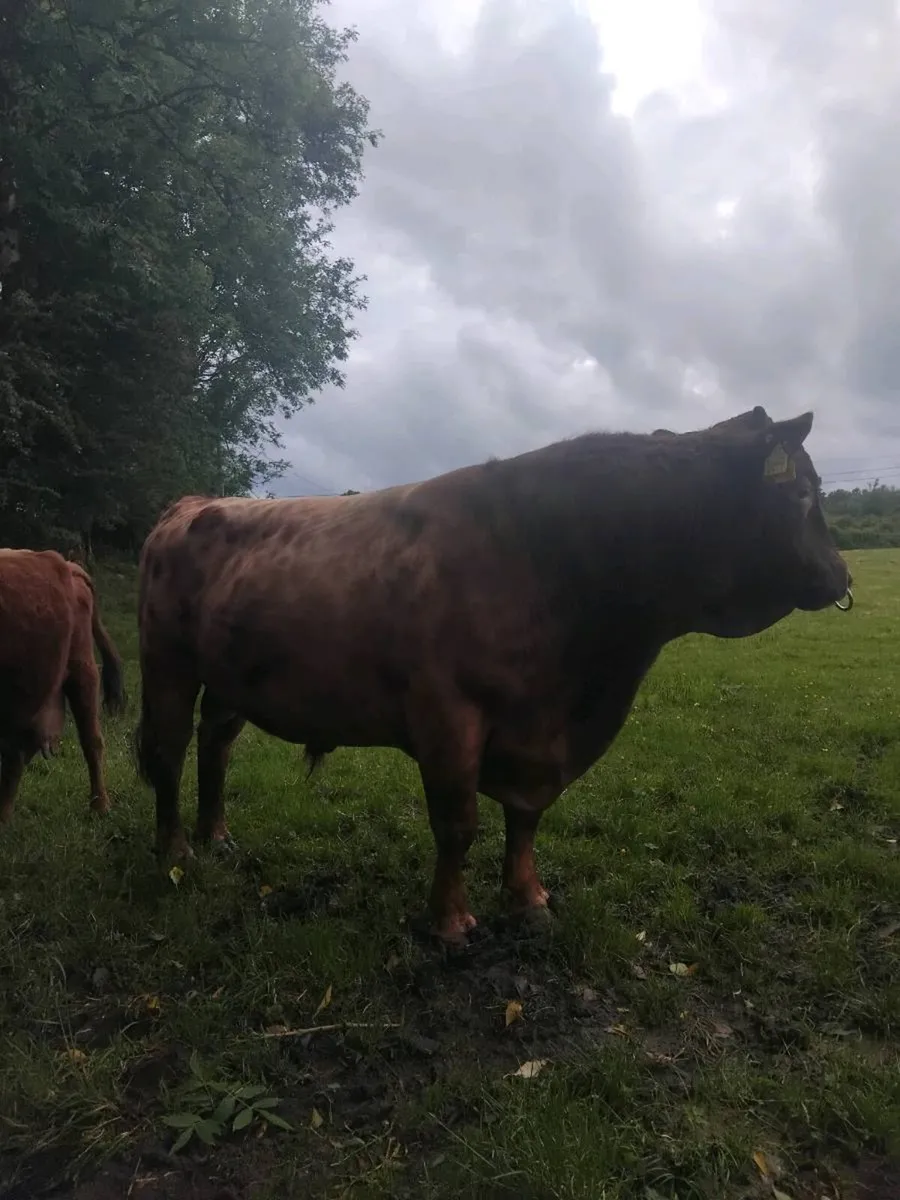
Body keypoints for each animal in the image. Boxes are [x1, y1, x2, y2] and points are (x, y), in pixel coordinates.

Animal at [134, 406, 852, 944]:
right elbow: (458, 822)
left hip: (230, 678)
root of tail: (193, 503)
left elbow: (526, 817)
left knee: (217, 745)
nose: (842, 574)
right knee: (169, 752)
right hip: (166, 662)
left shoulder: (536, 730)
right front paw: (451, 920)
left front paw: (528, 897)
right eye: (801, 493)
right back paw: (175, 853)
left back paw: (218, 835)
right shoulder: (447, 715)